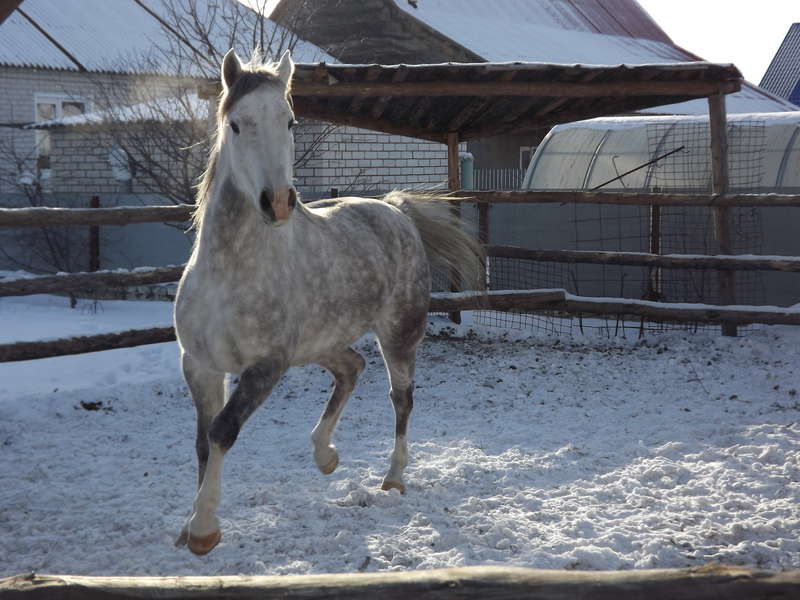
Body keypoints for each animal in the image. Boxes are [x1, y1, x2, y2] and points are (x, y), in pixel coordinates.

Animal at [173, 48, 485, 555]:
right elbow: (203, 441)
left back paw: (393, 478)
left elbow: (223, 430)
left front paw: (203, 530)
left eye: (291, 121)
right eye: (236, 124)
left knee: (401, 397)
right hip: (320, 343)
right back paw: (326, 456)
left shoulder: (266, 366)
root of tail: (395, 209)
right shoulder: (199, 365)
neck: (231, 272)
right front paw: (189, 526)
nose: (279, 202)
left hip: (399, 335)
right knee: (352, 368)